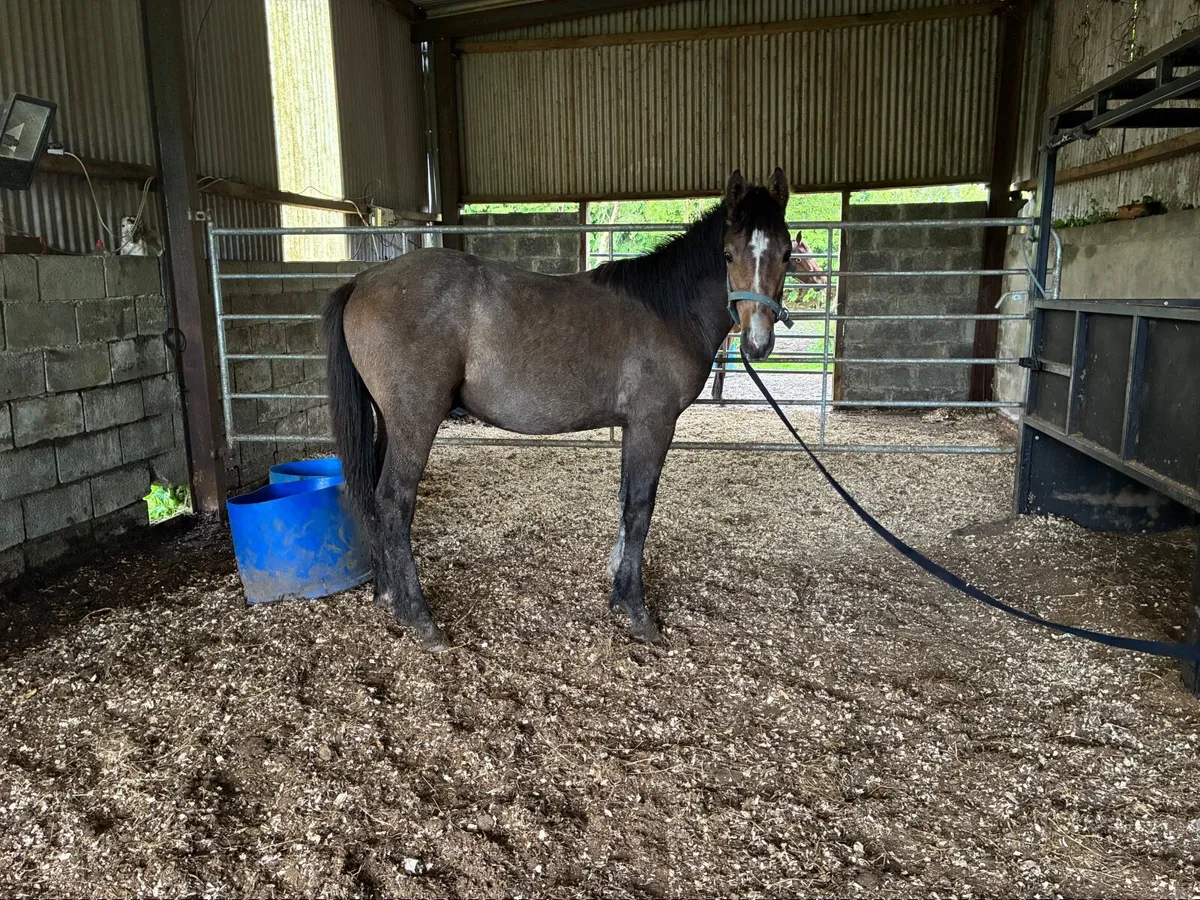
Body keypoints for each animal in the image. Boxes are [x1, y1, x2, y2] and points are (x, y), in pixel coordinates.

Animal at [323, 169, 796, 650]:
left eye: (787, 252)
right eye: (728, 253)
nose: (758, 343)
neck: (667, 310)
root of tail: (363, 281)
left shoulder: (633, 427)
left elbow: (625, 499)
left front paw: (615, 582)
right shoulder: (654, 423)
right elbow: (640, 508)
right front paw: (636, 611)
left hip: (390, 421)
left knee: (375, 495)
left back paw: (388, 594)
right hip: (415, 421)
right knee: (393, 501)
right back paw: (421, 619)